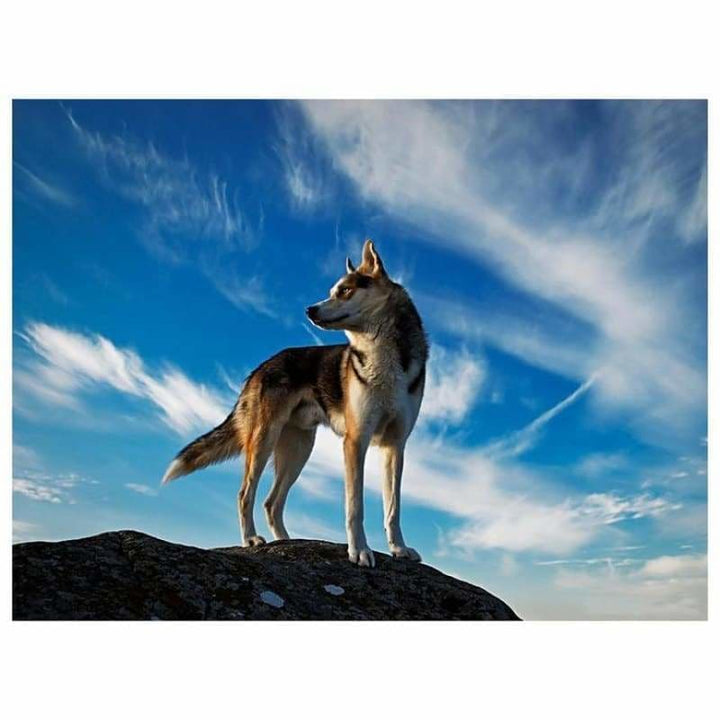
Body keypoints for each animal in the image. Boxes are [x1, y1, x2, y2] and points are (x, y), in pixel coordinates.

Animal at [162, 240, 428, 567]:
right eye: (332, 290)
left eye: (345, 290)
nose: (309, 309)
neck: (384, 358)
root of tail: (261, 366)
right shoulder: (356, 441)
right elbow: (355, 507)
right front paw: (359, 550)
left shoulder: (395, 445)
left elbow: (393, 508)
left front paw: (399, 549)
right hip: (264, 441)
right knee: (245, 494)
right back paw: (251, 539)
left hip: (298, 449)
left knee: (271, 502)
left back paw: (285, 542)